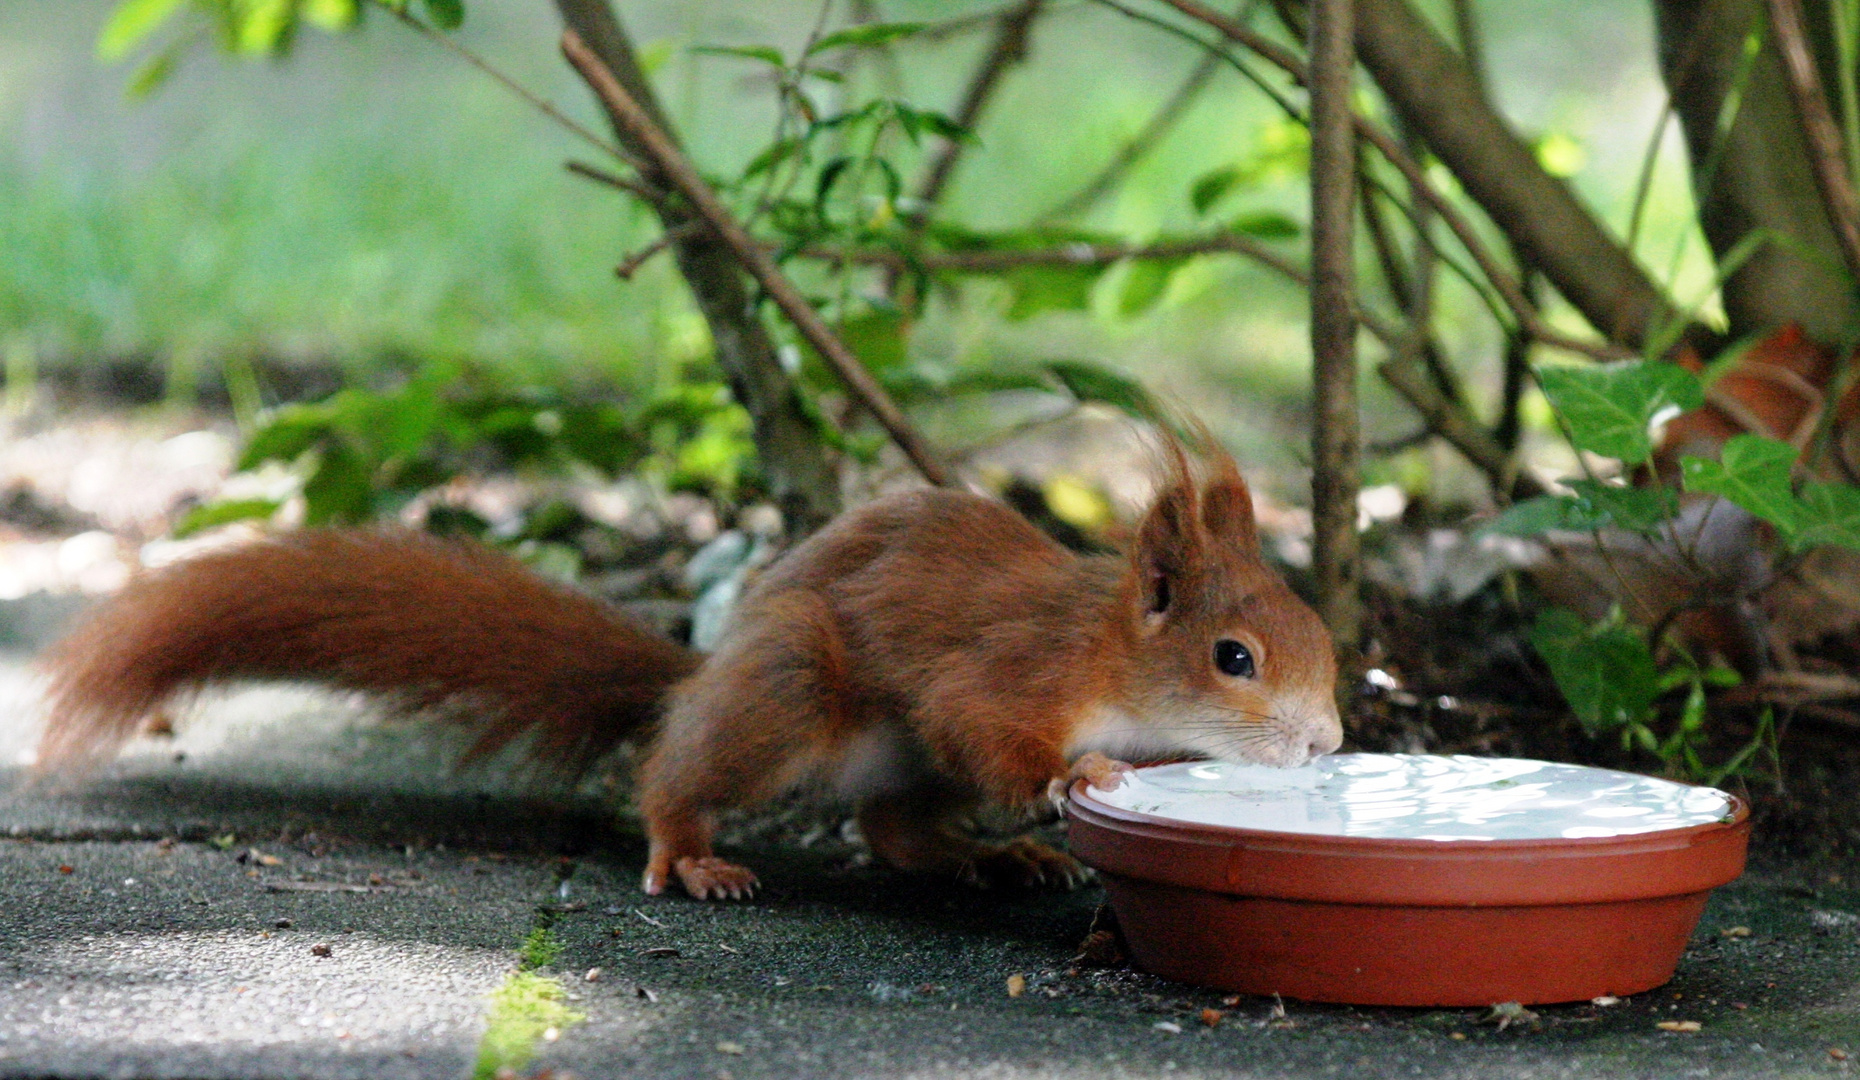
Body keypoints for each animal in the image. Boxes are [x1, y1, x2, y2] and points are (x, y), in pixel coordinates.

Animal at [29, 438, 1339, 899]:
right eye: (1233, 659)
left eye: (1325, 649)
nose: (1329, 742)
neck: (1110, 653)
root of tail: (702, 669)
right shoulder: (1010, 672)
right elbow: (991, 725)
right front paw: (1078, 785)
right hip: (796, 689)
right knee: (678, 773)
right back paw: (689, 853)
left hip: (889, 760)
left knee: (894, 830)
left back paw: (988, 854)